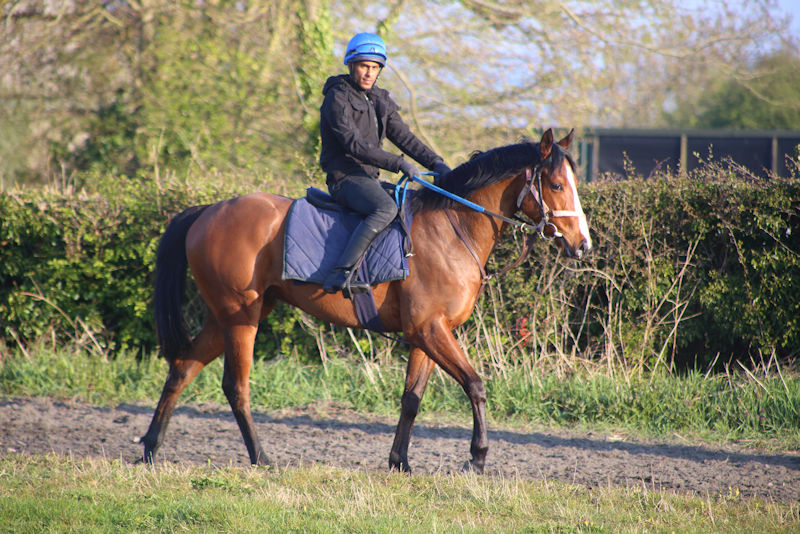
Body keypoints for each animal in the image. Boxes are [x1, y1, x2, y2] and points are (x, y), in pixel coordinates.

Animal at [139, 128, 592, 473]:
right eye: (556, 185)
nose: (583, 245)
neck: (451, 227)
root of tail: (209, 210)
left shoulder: (427, 335)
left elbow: (412, 400)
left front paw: (400, 461)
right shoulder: (430, 330)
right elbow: (475, 386)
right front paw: (477, 458)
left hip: (226, 316)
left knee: (182, 369)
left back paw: (150, 448)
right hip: (240, 317)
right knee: (236, 386)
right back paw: (260, 456)